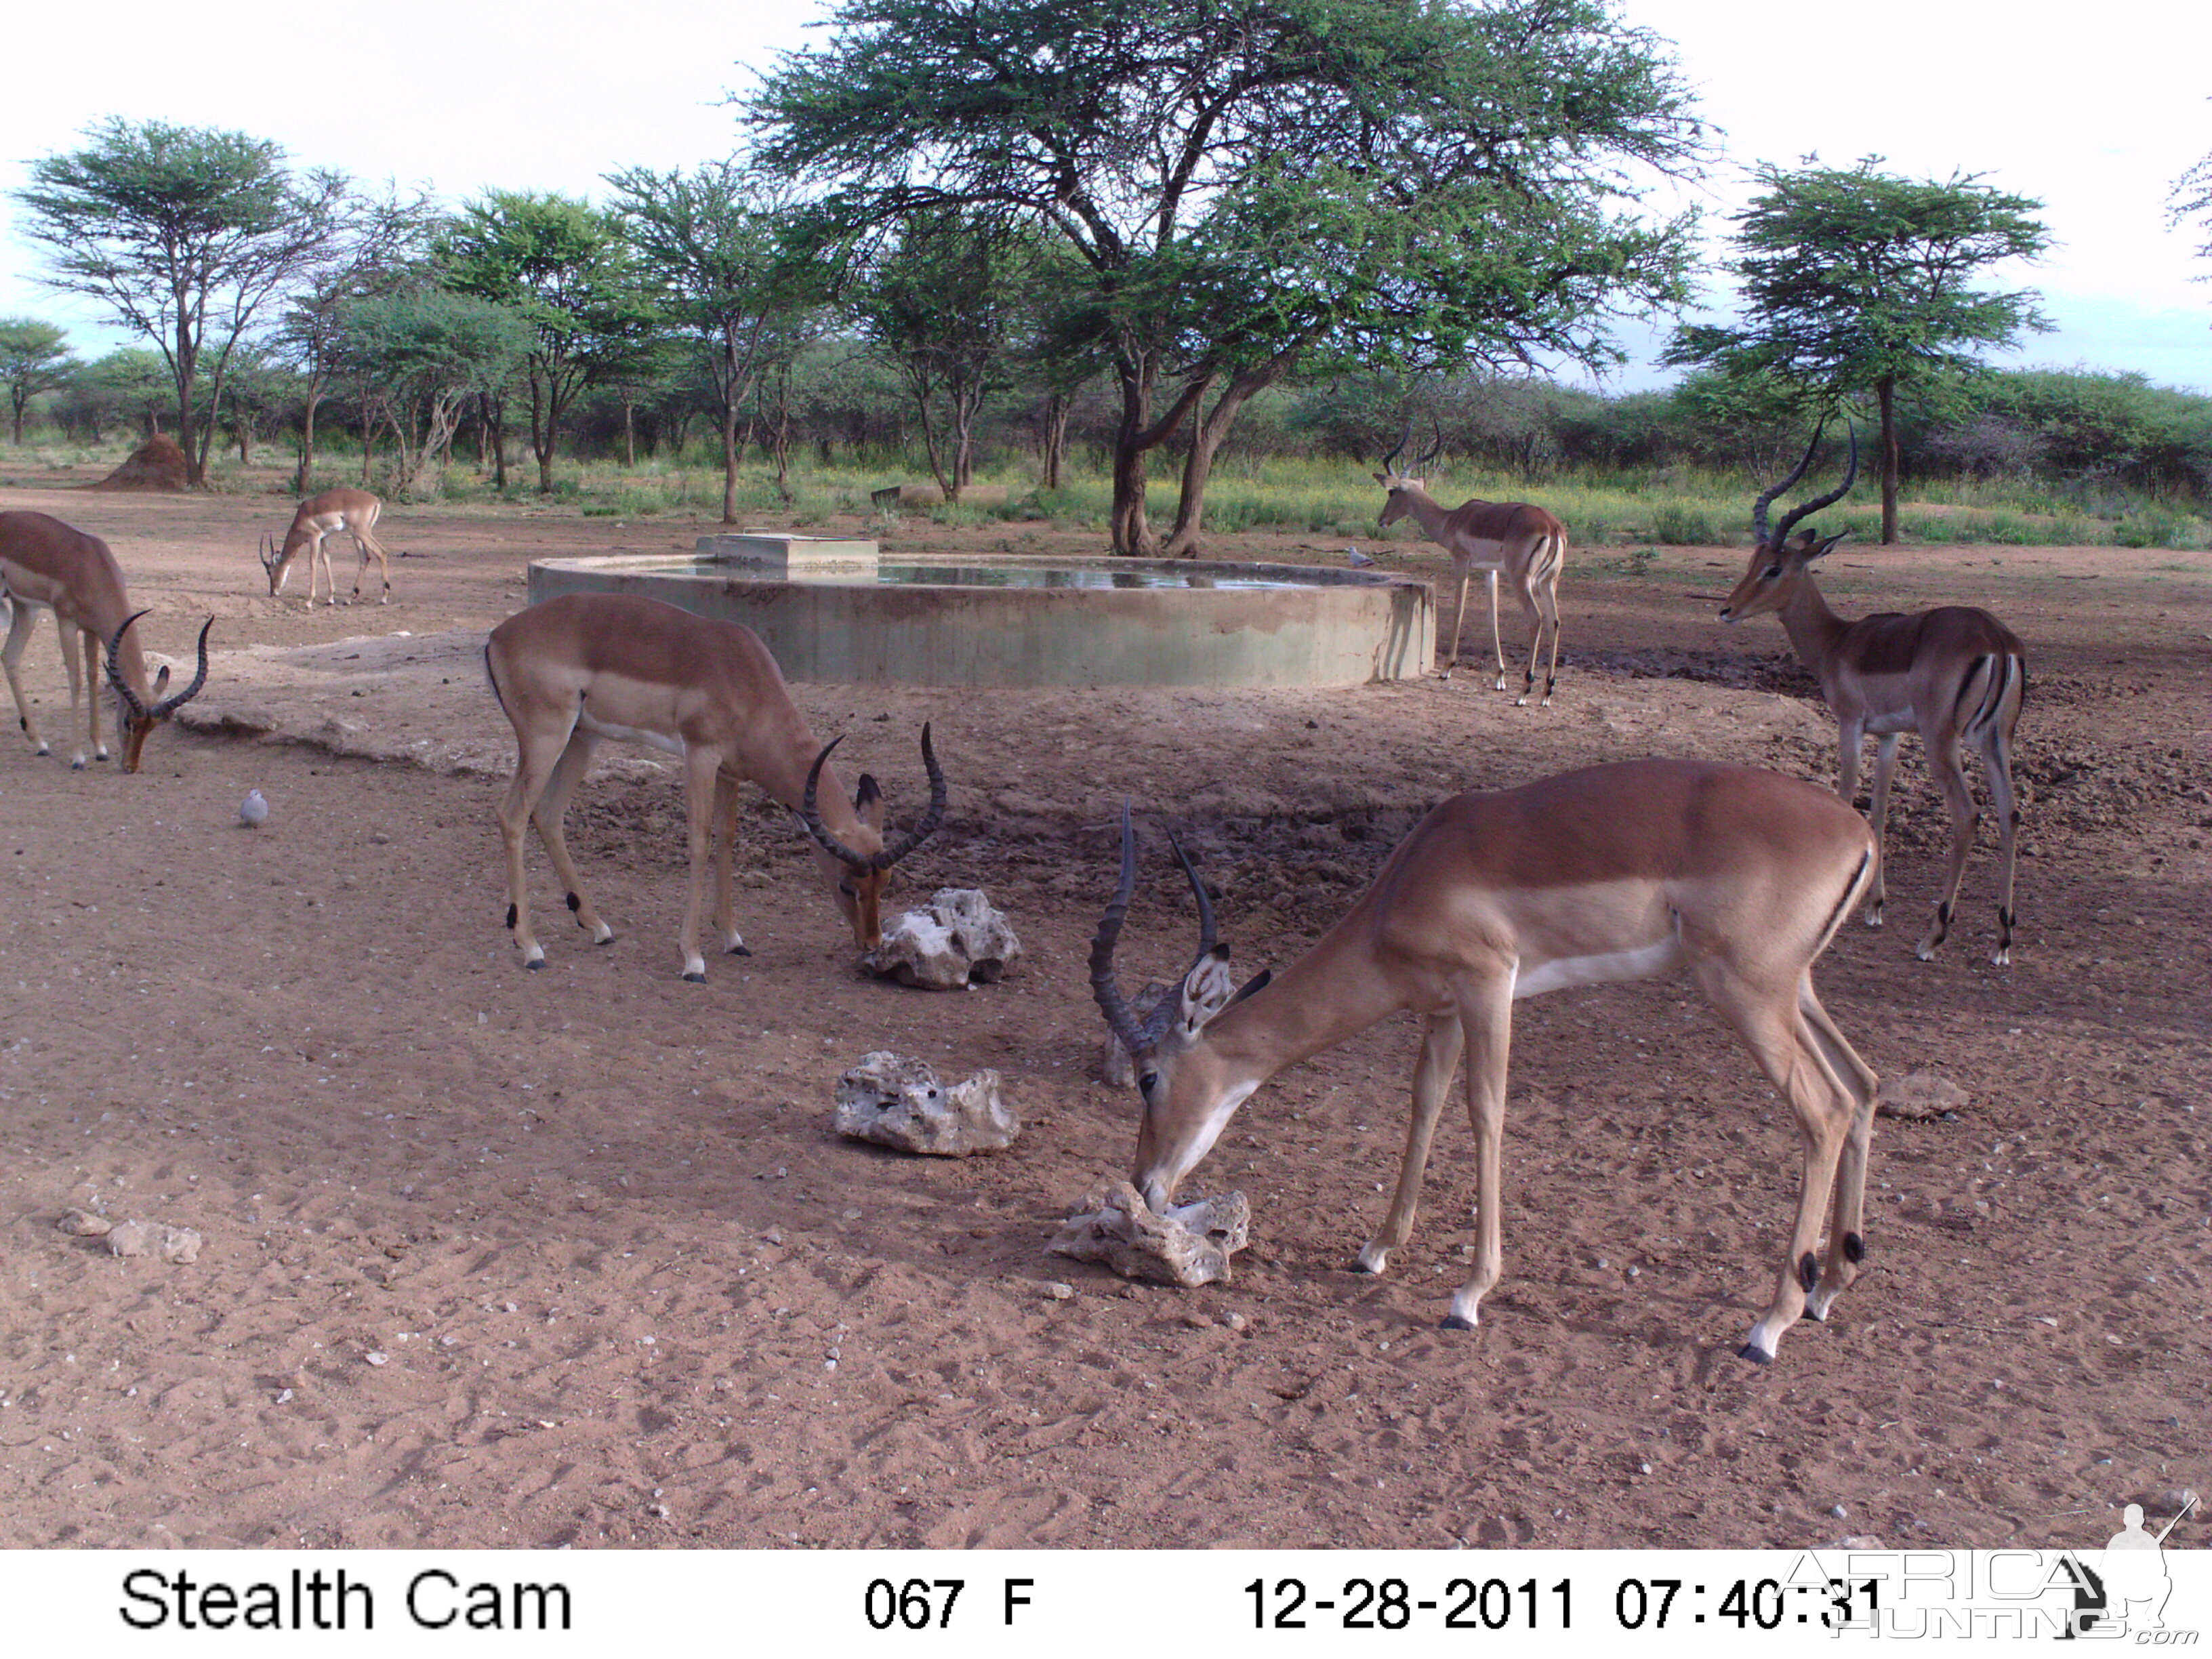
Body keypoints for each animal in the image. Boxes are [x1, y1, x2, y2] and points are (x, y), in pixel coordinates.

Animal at [0, 513, 211, 774]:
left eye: (153, 726)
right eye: (128, 721)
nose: (131, 766)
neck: (90, 564)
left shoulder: (91, 629)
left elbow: (92, 677)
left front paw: (100, 750)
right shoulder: (66, 623)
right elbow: (76, 680)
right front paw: (78, 757)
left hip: (26, 607)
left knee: (10, 657)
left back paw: (40, 744)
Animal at [263, 491, 393, 615]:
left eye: (269, 571)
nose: (272, 592)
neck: (303, 515)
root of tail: (375, 501)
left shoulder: (314, 538)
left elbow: (313, 563)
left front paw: (309, 601)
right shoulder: (326, 537)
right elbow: (326, 560)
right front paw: (330, 599)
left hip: (361, 532)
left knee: (381, 552)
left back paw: (383, 599)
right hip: (357, 535)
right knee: (365, 558)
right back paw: (349, 599)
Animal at [489, 597, 946, 982]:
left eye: (886, 884)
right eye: (847, 885)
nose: (871, 944)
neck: (746, 679)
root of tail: (498, 636)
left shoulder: (730, 773)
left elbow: (726, 840)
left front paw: (733, 939)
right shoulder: (700, 756)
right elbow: (699, 842)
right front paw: (693, 960)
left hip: (584, 738)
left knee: (548, 814)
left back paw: (598, 927)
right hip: (546, 738)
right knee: (512, 814)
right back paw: (531, 948)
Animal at [1097, 765, 1875, 1362]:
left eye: (1149, 1077)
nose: (1144, 1185)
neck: (1408, 882)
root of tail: (1859, 833)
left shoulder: (1488, 984)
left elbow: (1486, 1113)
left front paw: (1468, 1296)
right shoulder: (1441, 1010)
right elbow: (1424, 1106)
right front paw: (1375, 1250)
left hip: (1747, 991)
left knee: (1825, 1110)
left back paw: (1768, 1327)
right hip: (1795, 991)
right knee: (1863, 1086)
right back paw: (1827, 1289)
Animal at [1716, 429, 2026, 968]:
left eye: (1774, 568)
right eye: (1752, 561)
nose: (1728, 610)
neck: (1838, 641)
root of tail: (1997, 640)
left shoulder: (1850, 725)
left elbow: (1845, 800)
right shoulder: (1889, 736)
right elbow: (1878, 810)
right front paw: (1875, 907)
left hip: (1944, 741)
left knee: (1969, 815)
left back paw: (1933, 936)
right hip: (1995, 739)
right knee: (2009, 813)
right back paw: (2002, 941)